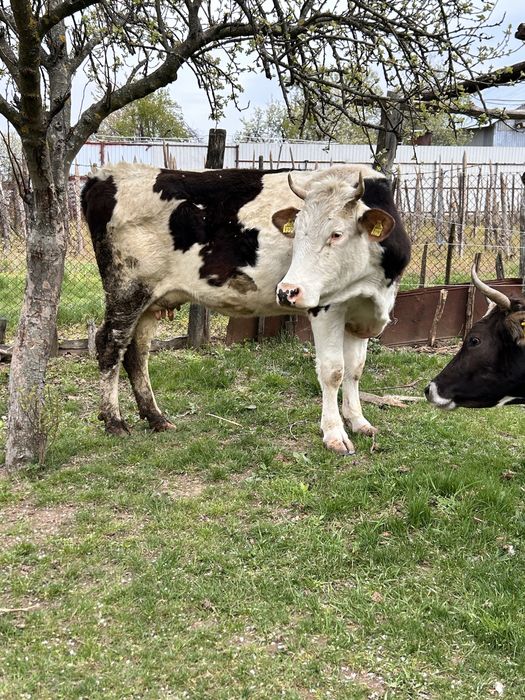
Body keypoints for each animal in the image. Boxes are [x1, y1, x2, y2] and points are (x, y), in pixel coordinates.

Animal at [81, 162, 410, 455]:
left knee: (137, 352)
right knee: (109, 345)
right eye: (296, 233)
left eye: (337, 234)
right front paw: (334, 435)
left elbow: (355, 369)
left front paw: (358, 421)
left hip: (151, 300)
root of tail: (103, 176)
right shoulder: (326, 305)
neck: (375, 282)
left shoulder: (362, 310)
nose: (287, 291)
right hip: (126, 289)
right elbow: (333, 371)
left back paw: (156, 418)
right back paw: (114, 421)